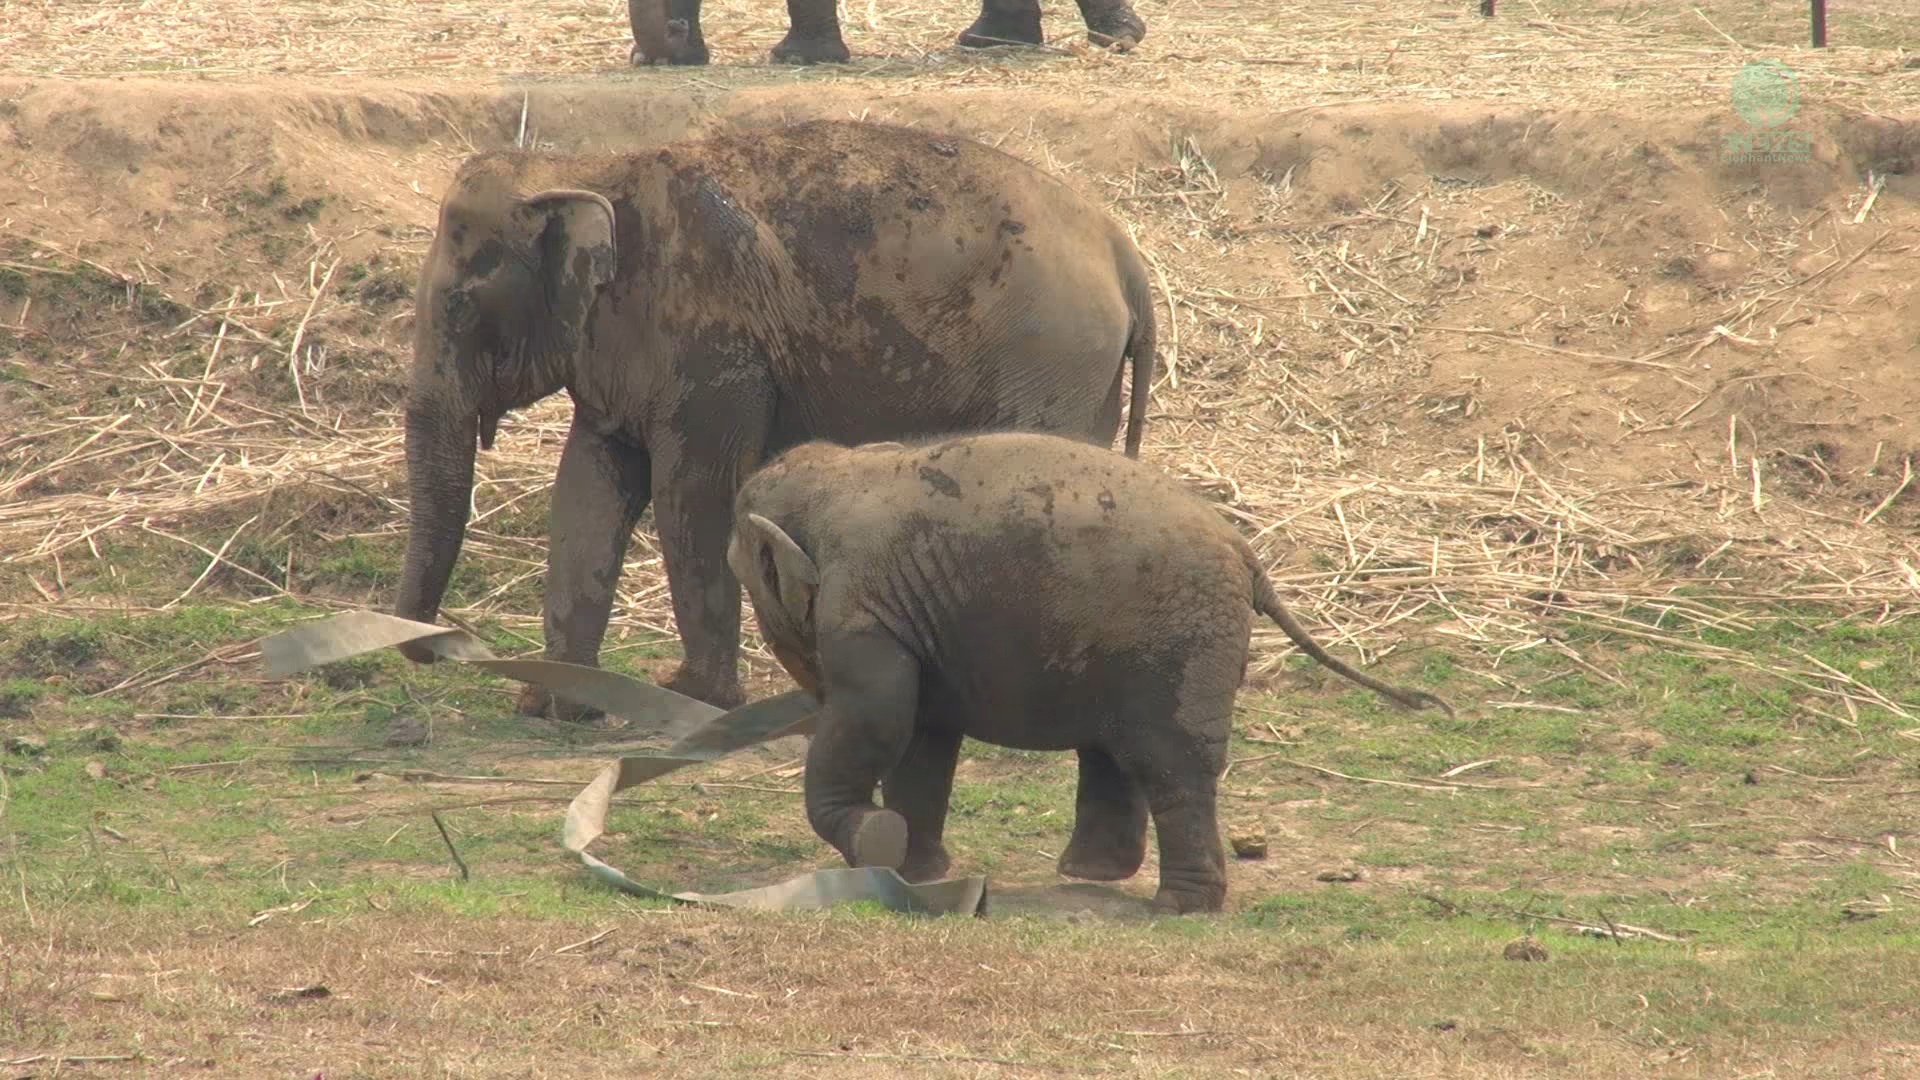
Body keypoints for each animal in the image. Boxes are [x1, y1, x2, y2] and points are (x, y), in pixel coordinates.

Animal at [393, 119, 1152, 714]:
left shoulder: (710, 347)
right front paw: (555, 704)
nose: (433, 649)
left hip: (1052, 353)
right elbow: (587, 489)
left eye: (459, 306)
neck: (582, 170)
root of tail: (1120, 246)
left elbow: (691, 493)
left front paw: (691, 695)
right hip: (1082, 369)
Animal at [725, 428, 1443, 907]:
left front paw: (874, 842)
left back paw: (1179, 906)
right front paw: (916, 871)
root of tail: (1246, 553)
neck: (839, 471)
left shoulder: (861, 602)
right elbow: (924, 733)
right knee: (1120, 752)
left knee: (1172, 764)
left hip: (1180, 642)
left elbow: (877, 715)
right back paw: (1096, 878)